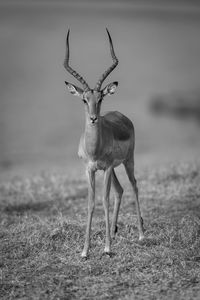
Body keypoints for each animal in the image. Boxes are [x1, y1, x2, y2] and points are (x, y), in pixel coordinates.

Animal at [63, 28, 145, 258]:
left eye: (100, 98)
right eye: (84, 99)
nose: (93, 118)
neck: (93, 149)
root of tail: (121, 115)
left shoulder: (106, 168)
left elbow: (104, 201)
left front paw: (107, 248)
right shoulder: (89, 169)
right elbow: (91, 203)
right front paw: (85, 251)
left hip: (127, 161)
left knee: (134, 186)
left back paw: (141, 235)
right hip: (115, 168)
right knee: (120, 190)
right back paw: (115, 233)